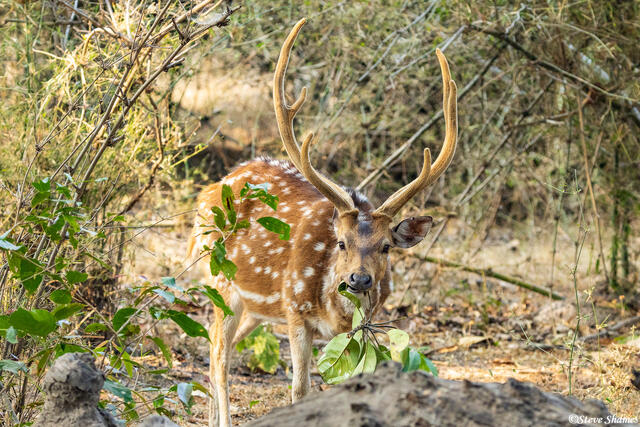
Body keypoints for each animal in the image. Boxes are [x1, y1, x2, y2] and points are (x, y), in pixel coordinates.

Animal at [188, 18, 457, 427]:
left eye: (386, 247)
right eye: (341, 241)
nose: (359, 279)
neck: (333, 307)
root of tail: (209, 189)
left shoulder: (355, 329)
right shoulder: (295, 311)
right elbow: (300, 389)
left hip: (254, 306)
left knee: (218, 344)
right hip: (221, 280)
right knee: (219, 354)